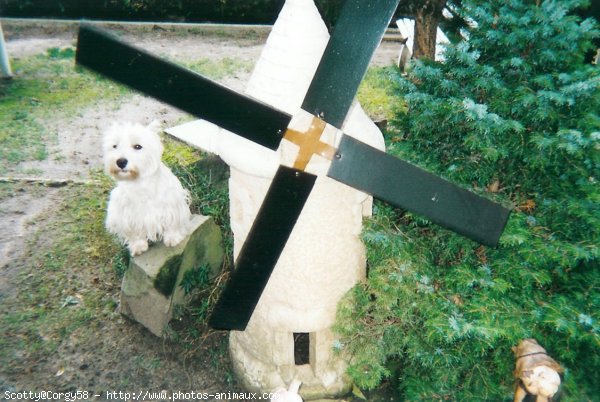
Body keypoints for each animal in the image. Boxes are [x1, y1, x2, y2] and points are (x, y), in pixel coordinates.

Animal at [103, 121, 192, 256]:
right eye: (115, 146)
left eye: (137, 146)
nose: (121, 162)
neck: (139, 182)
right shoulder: (125, 213)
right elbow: (133, 232)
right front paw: (138, 246)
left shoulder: (172, 204)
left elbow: (172, 222)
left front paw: (173, 238)